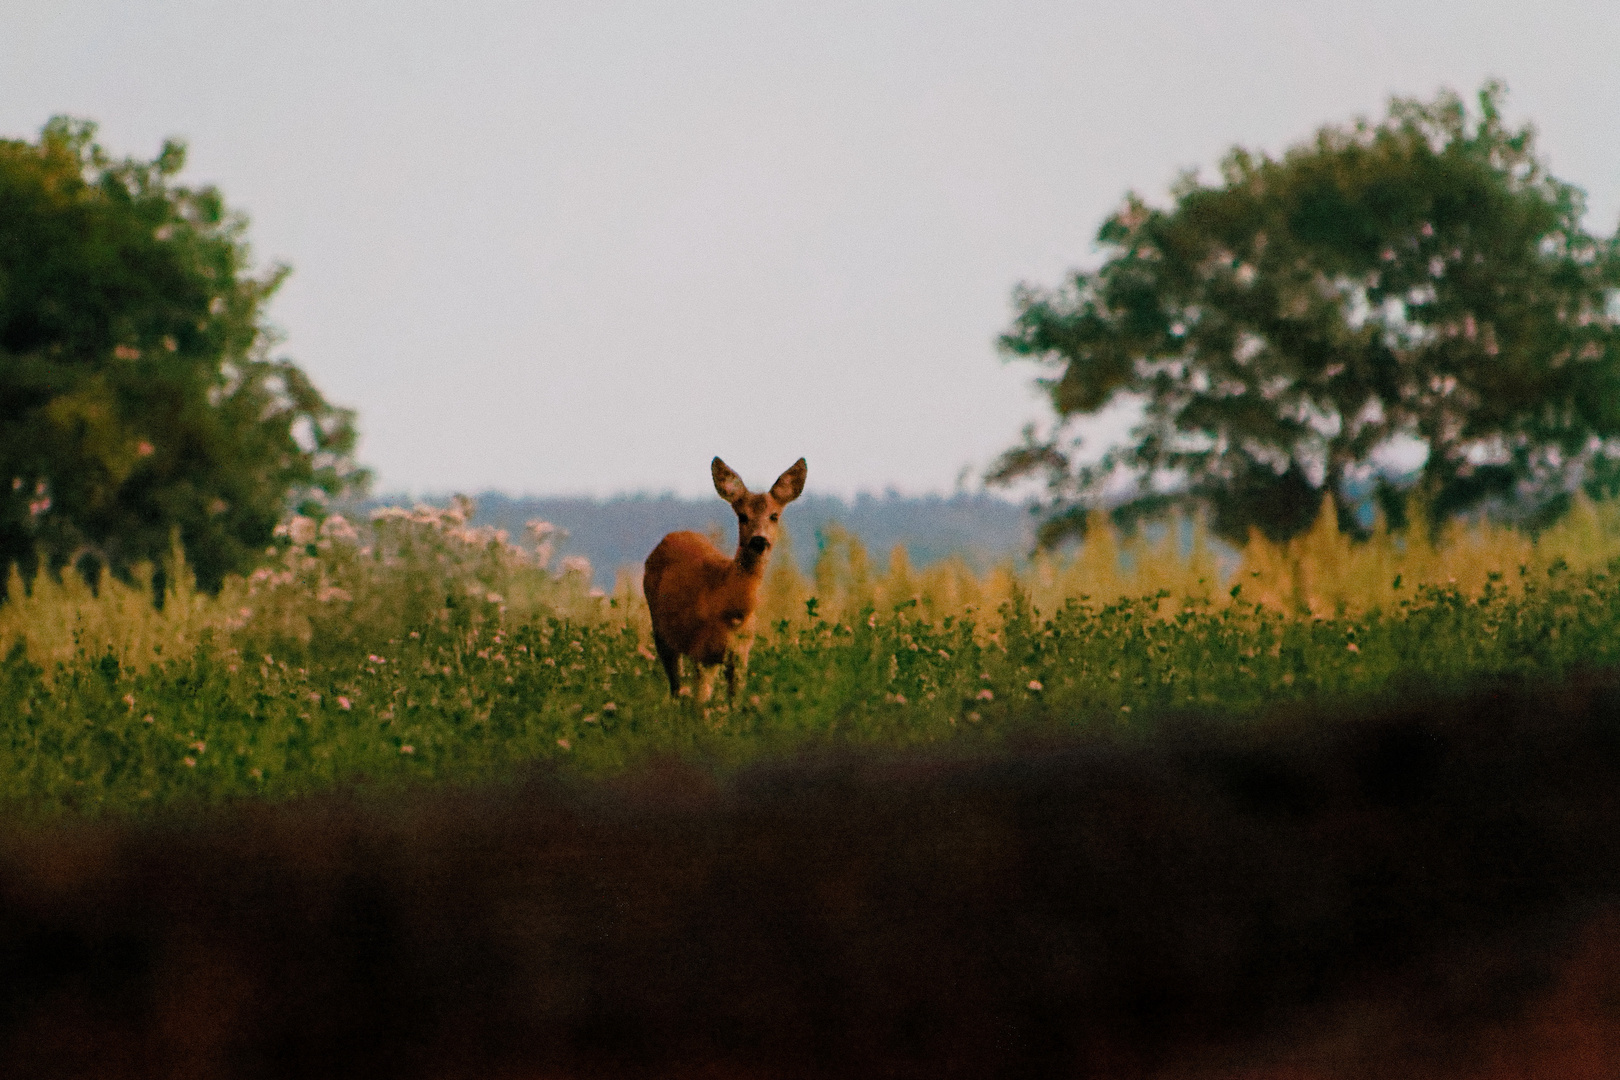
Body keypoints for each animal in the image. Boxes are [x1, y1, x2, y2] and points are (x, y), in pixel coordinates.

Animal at [638, 453, 803, 702]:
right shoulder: (700, 650)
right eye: (742, 516)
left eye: (774, 516)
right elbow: (701, 704)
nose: (759, 540)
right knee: (675, 687)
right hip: (661, 632)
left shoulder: (740, 654)